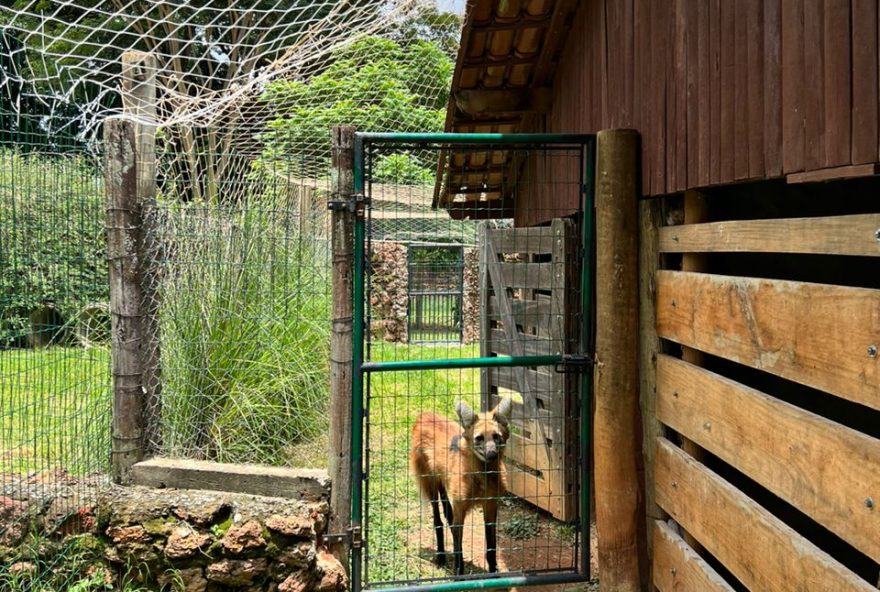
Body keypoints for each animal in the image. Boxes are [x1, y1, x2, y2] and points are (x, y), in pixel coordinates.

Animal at [410, 398, 512, 572]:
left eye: (496, 437)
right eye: (479, 438)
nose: (492, 454)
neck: (482, 477)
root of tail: (425, 414)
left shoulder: (490, 505)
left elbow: (491, 546)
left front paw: (493, 571)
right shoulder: (461, 507)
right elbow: (458, 546)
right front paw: (459, 572)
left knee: (449, 517)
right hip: (431, 485)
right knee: (438, 521)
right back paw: (441, 557)